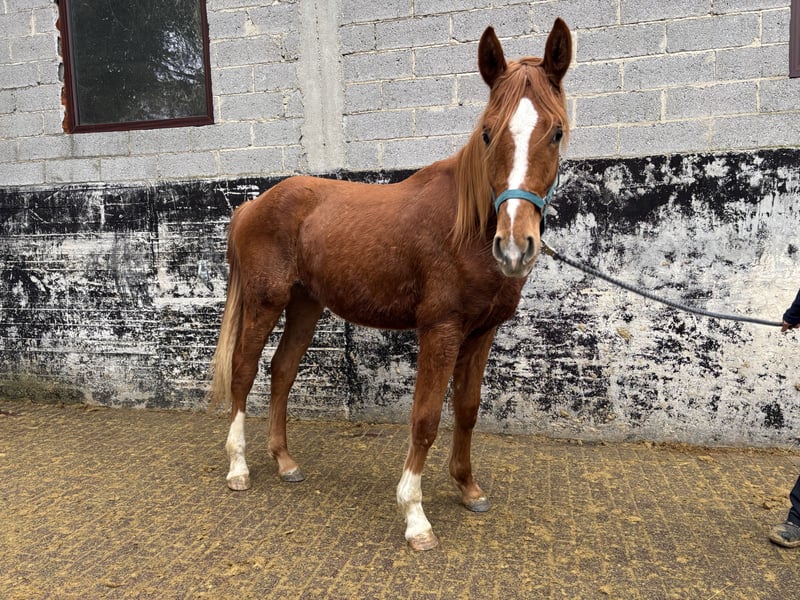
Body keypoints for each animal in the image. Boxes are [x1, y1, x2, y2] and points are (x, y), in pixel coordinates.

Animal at [210, 19, 572, 551]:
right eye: (487, 133)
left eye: (556, 132)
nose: (513, 246)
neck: (466, 226)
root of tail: (253, 204)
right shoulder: (440, 330)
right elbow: (425, 417)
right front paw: (415, 516)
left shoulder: (481, 333)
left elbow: (467, 409)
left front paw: (468, 488)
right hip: (265, 301)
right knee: (243, 370)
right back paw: (239, 468)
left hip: (305, 305)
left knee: (281, 370)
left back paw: (285, 462)